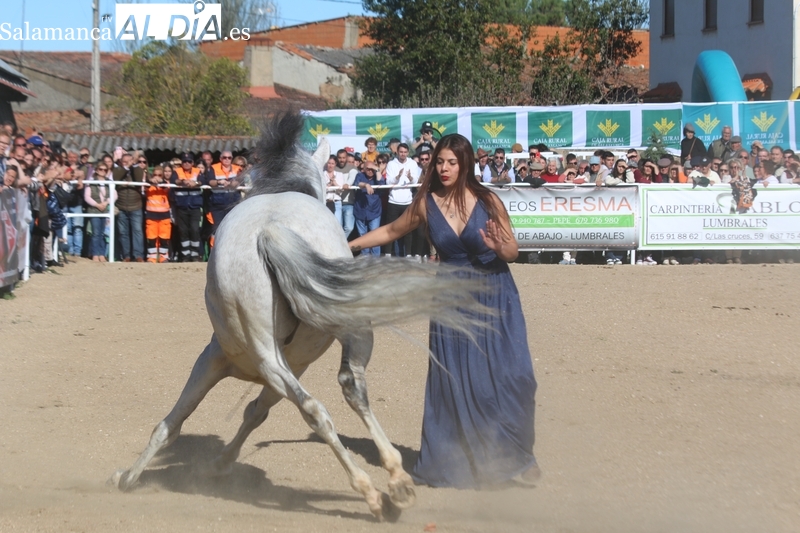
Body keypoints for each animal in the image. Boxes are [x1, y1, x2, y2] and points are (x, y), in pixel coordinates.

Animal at [109, 112, 487, 521]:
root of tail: (269, 230)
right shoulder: (277, 363)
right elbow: (228, 415)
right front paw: (192, 468)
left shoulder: (217, 360)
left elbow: (185, 421)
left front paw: (137, 476)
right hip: (340, 335)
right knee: (345, 391)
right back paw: (393, 486)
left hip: (277, 355)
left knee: (319, 406)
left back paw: (377, 491)